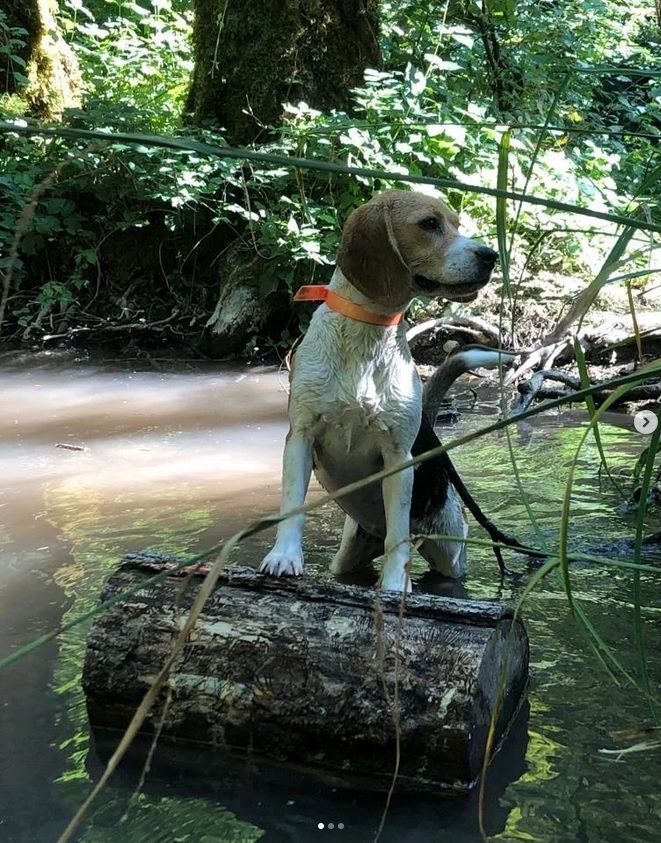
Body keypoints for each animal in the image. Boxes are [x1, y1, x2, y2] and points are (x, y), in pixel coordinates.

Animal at [258, 190, 496, 592]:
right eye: (429, 224)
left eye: (457, 224)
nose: (491, 255)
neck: (368, 333)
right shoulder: (300, 437)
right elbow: (292, 507)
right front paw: (284, 557)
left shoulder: (398, 457)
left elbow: (397, 535)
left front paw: (395, 585)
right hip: (348, 554)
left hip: (450, 552)